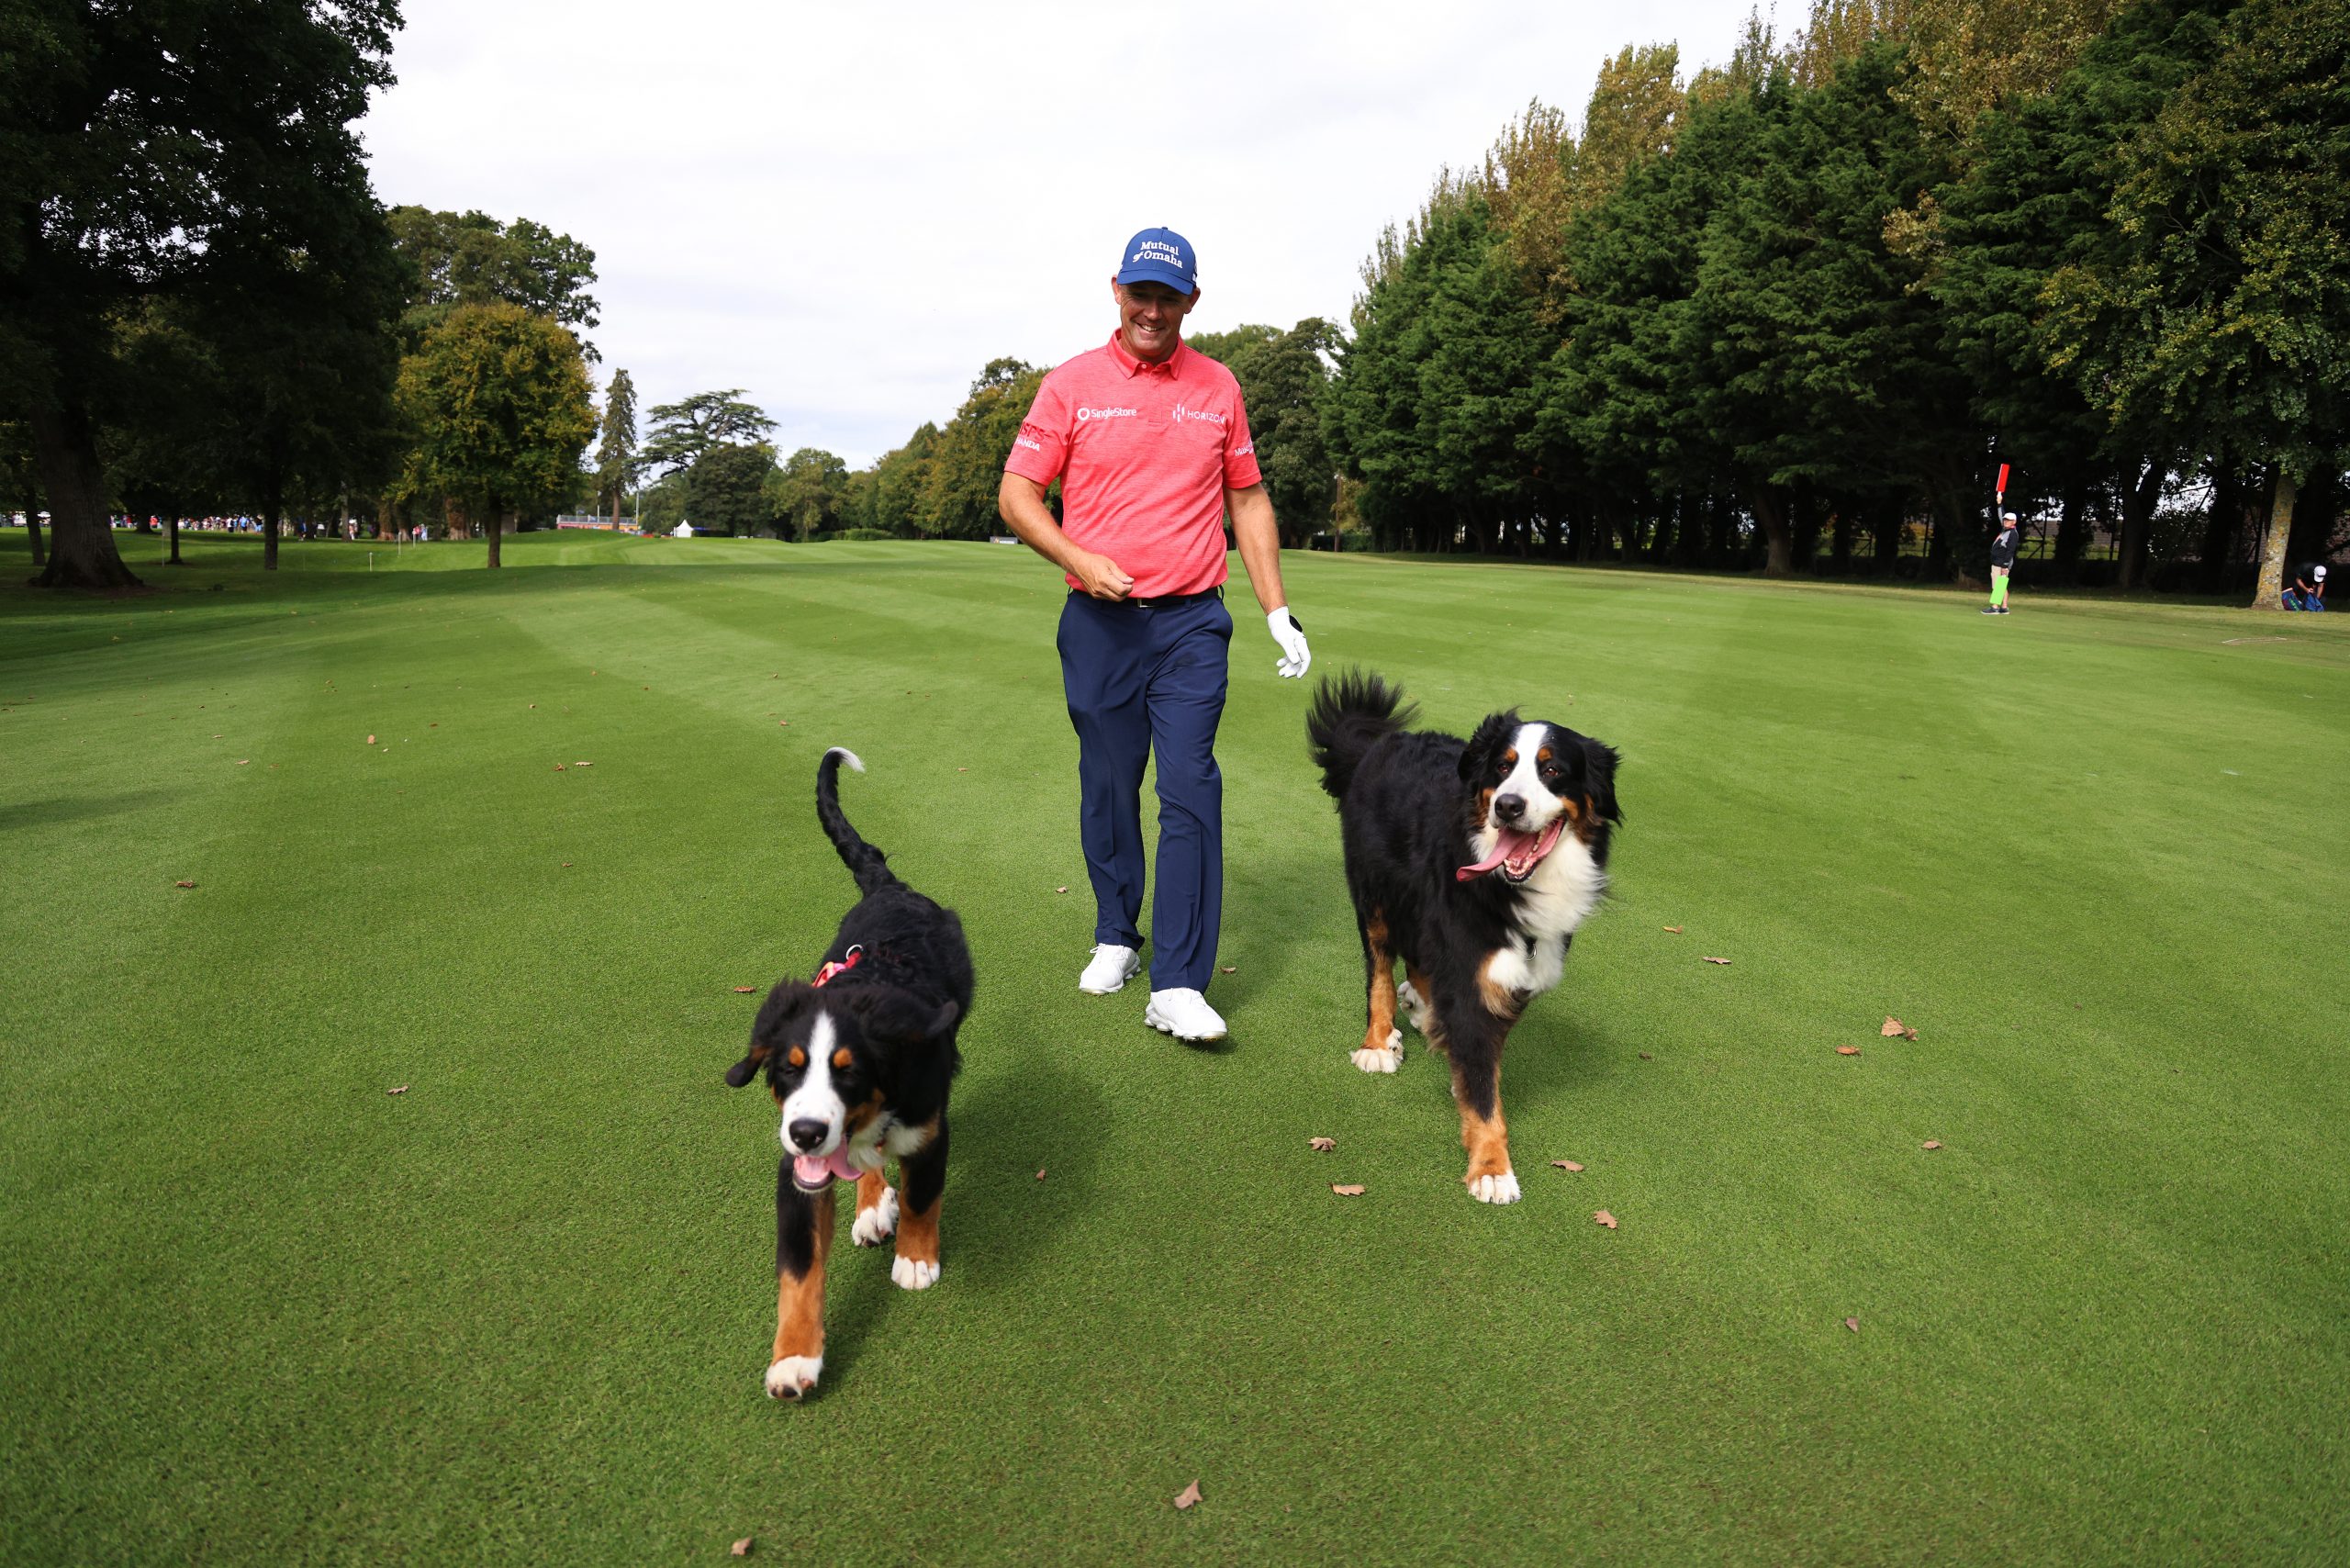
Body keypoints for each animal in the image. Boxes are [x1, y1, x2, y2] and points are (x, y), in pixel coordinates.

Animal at [719, 747, 968, 1401]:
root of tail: (890, 887)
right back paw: (870, 1202)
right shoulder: (796, 1175)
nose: (806, 1132)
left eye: (849, 1074)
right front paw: (794, 1357)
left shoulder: (929, 1129)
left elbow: (923, 1199)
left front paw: (915, 1260)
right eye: (787, 1071)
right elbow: (799, 1269)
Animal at [1306, 672, 1617, 1204]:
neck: (1513, 889)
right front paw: (1491, 1168)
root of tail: (1385, 740)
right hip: (1377, 898)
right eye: (1503, 767)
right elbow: (1482, 1086)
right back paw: (1378, 1041)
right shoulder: (1470, 966)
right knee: (1380, 968)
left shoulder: (1512, 974)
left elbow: (1481, 1065)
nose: (1507, 805)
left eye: (1552, 770)